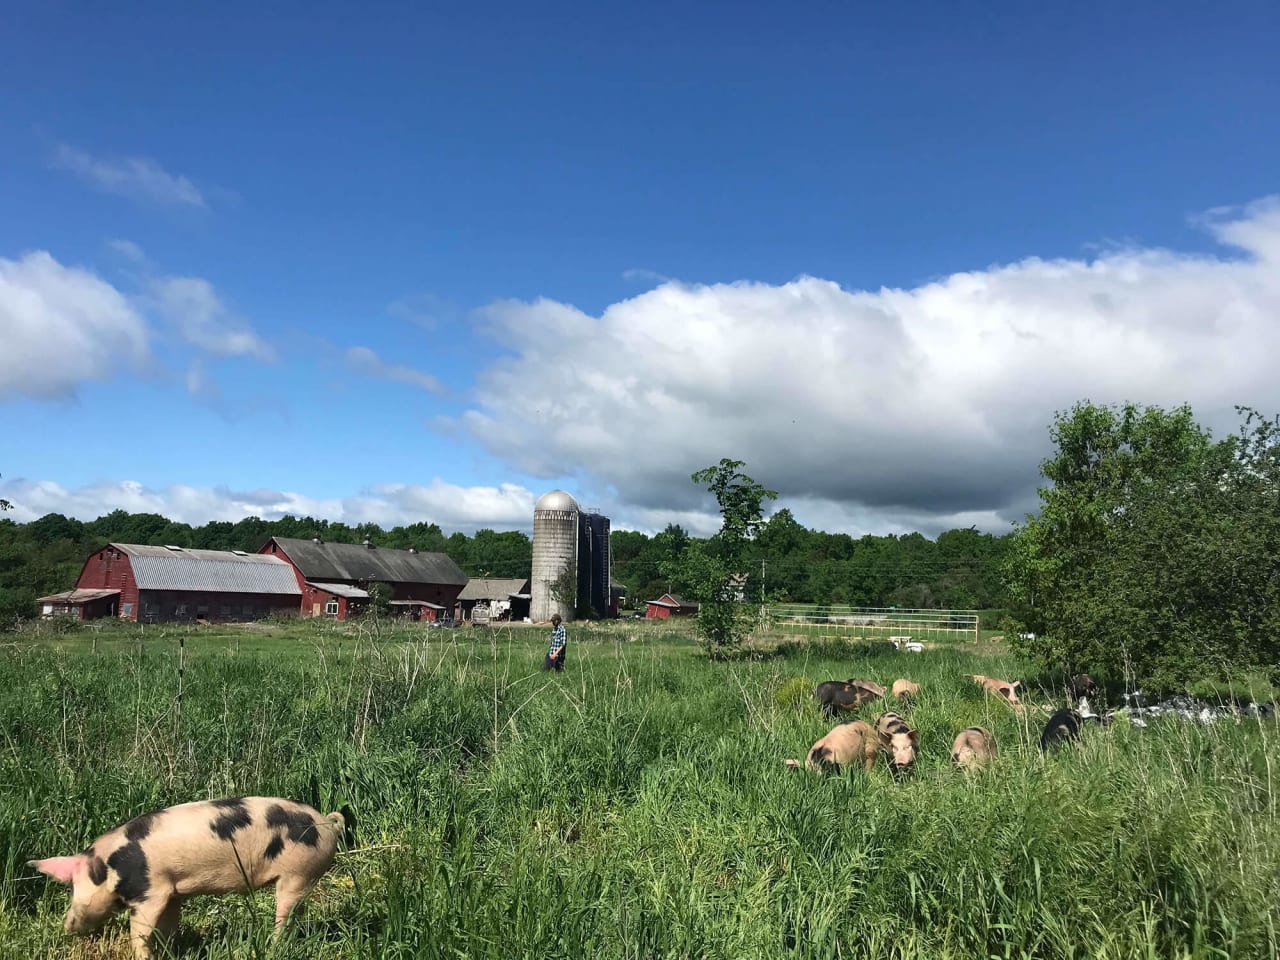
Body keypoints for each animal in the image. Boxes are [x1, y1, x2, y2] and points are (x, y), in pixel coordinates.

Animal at [31, 798, 345, 960]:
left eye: (73, 886)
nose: (67, 925)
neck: (109, 867)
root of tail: (328, 824)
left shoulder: (151, 892)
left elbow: (140, 931)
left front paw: (144, 955)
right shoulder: (173, 893)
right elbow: (168, 927)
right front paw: (172, 951)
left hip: (298, 873)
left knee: (285, 914)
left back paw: (273, 945)